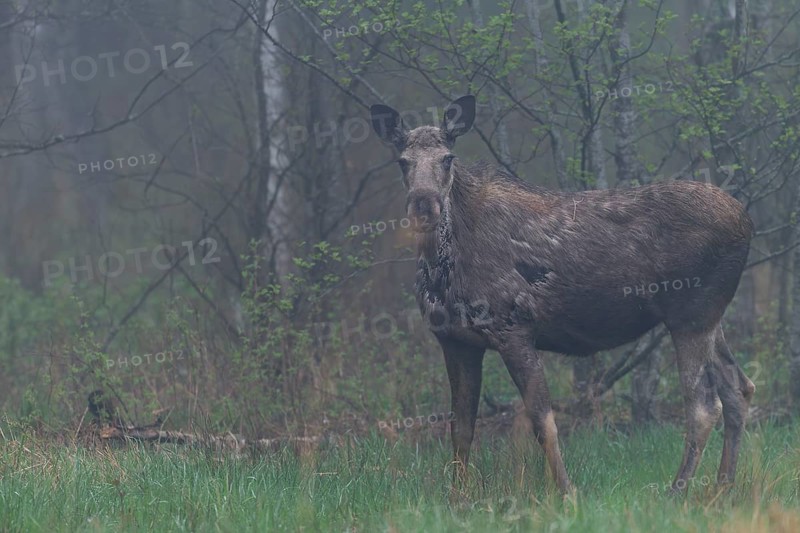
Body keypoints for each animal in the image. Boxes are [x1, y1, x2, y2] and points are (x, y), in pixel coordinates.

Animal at [369, 95, 755, 495]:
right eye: (403, 161)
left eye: (447, 158)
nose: (423, 204)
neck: (443, 267)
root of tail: (747, 222)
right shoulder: (455, 341)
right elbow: (460, 429)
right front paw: (458, 495)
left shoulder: (513, 329)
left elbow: (544, 422)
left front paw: (568, 492)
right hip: (710, 319)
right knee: (739, 389)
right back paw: (722, 487)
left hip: (691, 316)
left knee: (704, 406)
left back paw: (677, 491)